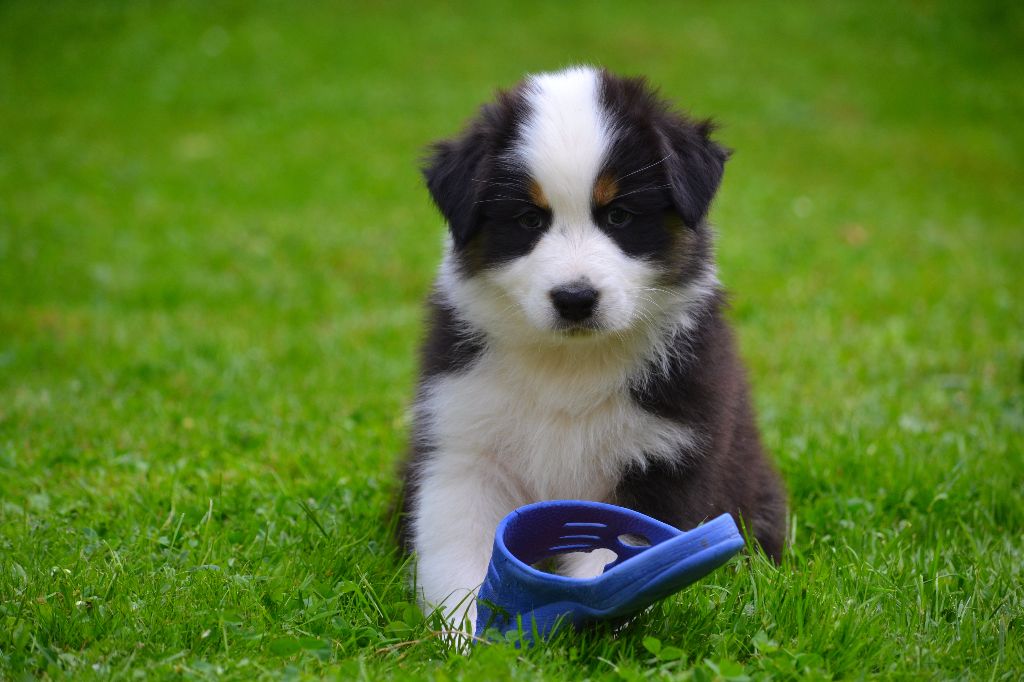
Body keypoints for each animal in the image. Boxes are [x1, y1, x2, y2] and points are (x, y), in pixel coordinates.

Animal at [398, 66, 786, 632]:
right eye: (529, 220)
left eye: (619, 215)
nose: (575, 299)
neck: (570, 365)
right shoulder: (464, 446)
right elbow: (458, 554)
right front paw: (464, 636)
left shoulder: (665, 459)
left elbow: (613, 560)